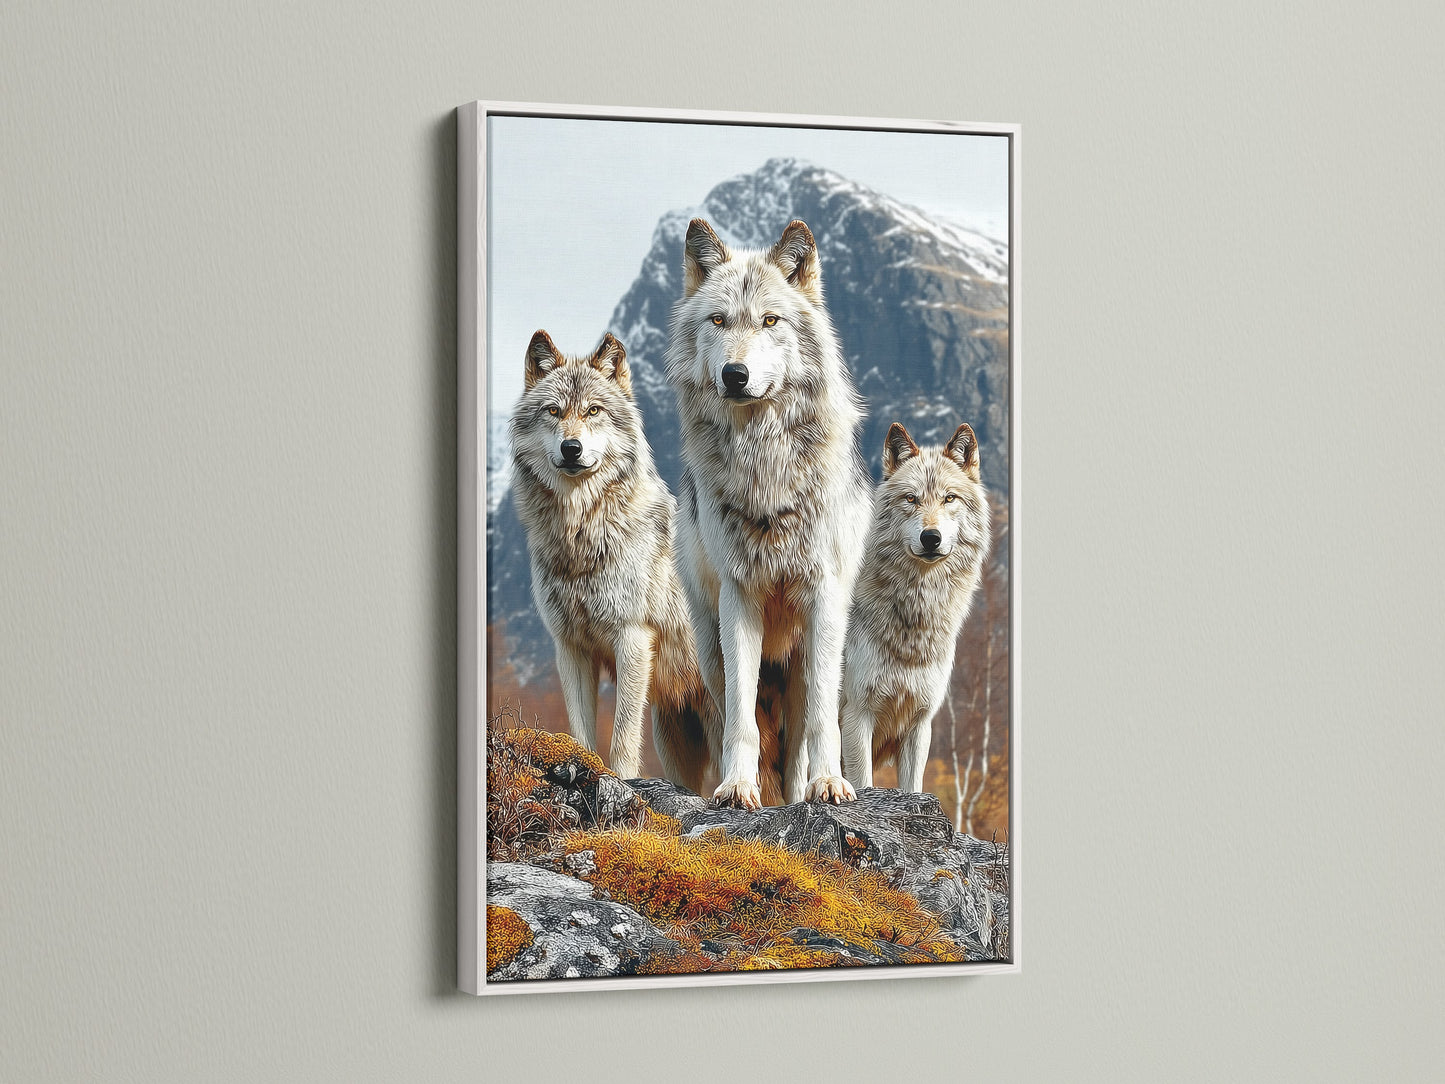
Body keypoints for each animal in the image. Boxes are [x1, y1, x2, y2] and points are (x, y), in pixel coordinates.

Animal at [509, 329, 712, 788]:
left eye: (593, 410)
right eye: (554, 411)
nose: (571, 448)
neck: (582, 536)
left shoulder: (632, 637)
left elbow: (621, 733)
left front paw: (619, 779)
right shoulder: (570, 647)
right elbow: (581, 729)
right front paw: (580, 766)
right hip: (675, 734)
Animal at [667, 217, 871, 809]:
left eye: (770, 321)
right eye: (718, 320)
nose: (735, 374)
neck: (765, 470)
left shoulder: (823, 595)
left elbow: (822, 722)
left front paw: (829, 785)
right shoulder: (740, 597)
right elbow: (741, 723)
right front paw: (737, 788)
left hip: (809, 657)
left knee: (800, 736)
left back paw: (807, 788)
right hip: (710, 651)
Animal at [840, 422, 990, 794]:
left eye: (949, 498)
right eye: (911, 499)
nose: (931, 537)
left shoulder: (920, 722)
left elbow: (913, 787)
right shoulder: (856, 716)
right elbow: (862, 784)